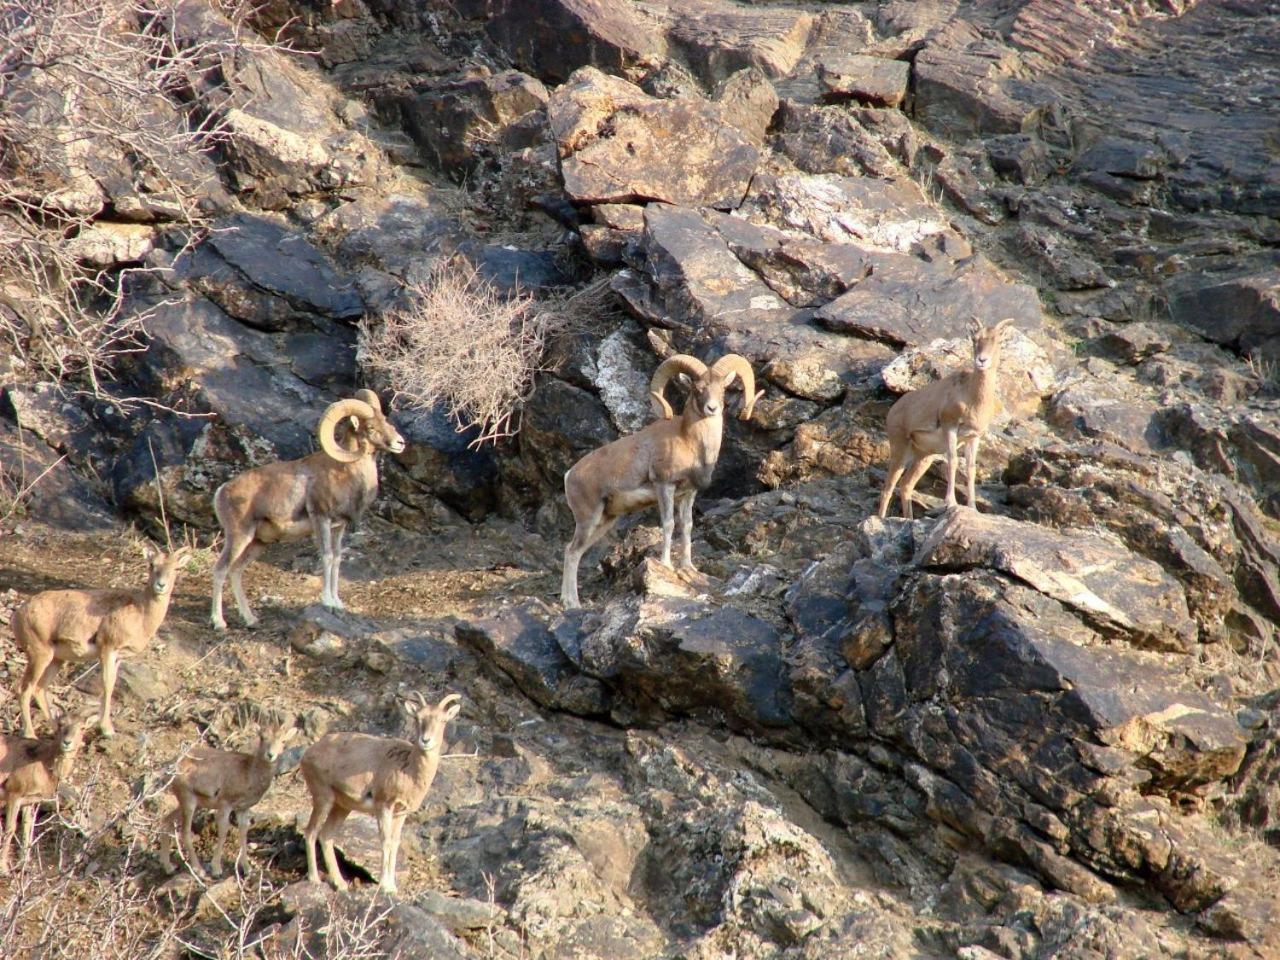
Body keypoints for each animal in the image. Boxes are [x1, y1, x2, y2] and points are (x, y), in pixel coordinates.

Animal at [211, 391, 404, 632]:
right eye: (370, 428)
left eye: (385, 420)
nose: (400, 443)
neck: (344, 472)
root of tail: (222, 491)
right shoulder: (321, 519)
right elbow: (327, 556)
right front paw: (327, 602)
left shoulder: (339, 527)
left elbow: (337, 558)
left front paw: (338, 603)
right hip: (238, 537)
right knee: (220, 570)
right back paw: (219, 623)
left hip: (258, 543)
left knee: (236, 571)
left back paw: (251, 619)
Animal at [563, 353, 757, 609]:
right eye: (697, 389)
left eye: (722, 389)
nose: (712, 408)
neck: (690, 442)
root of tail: (569, 475)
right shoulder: (665, 487)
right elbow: (669, 524)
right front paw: (666, 565)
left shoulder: (688, 494)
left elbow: (686, 526)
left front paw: (688, 568)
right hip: (588, 519)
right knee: (571, 551)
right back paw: (572, 603)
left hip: (604, 522)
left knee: (575, 552)